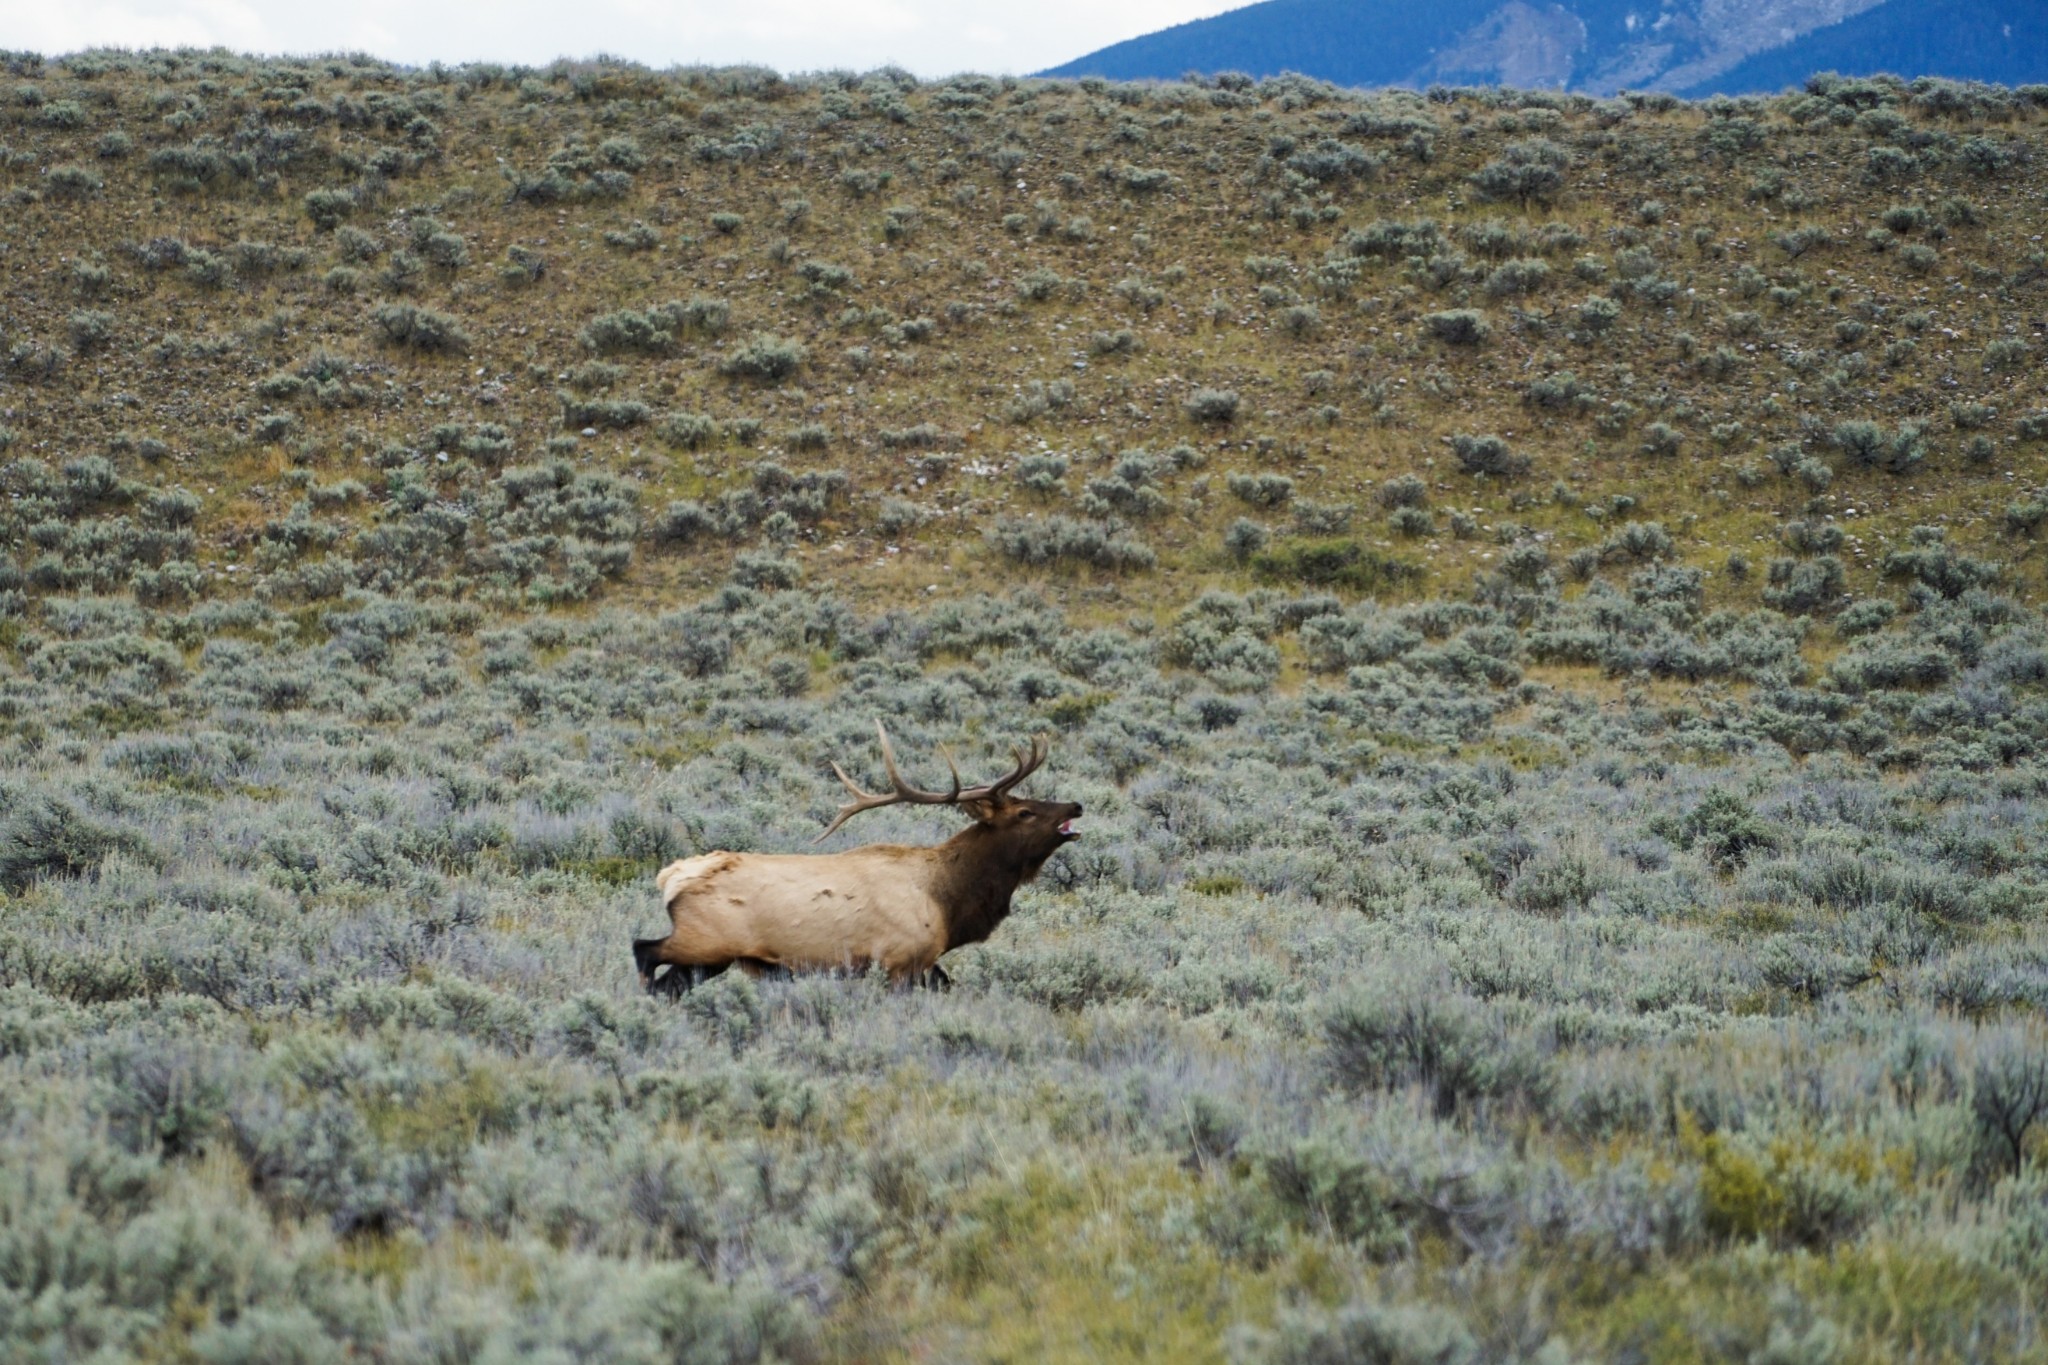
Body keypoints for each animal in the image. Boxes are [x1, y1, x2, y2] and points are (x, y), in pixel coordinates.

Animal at [630, 724, 1081, 994]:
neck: (949, 901)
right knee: (644, 951)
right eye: (1024, 812)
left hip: (707, 959)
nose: (1075, 805)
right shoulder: (900, 960)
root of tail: (669, 876)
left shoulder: (924, 964)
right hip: (706, 943)